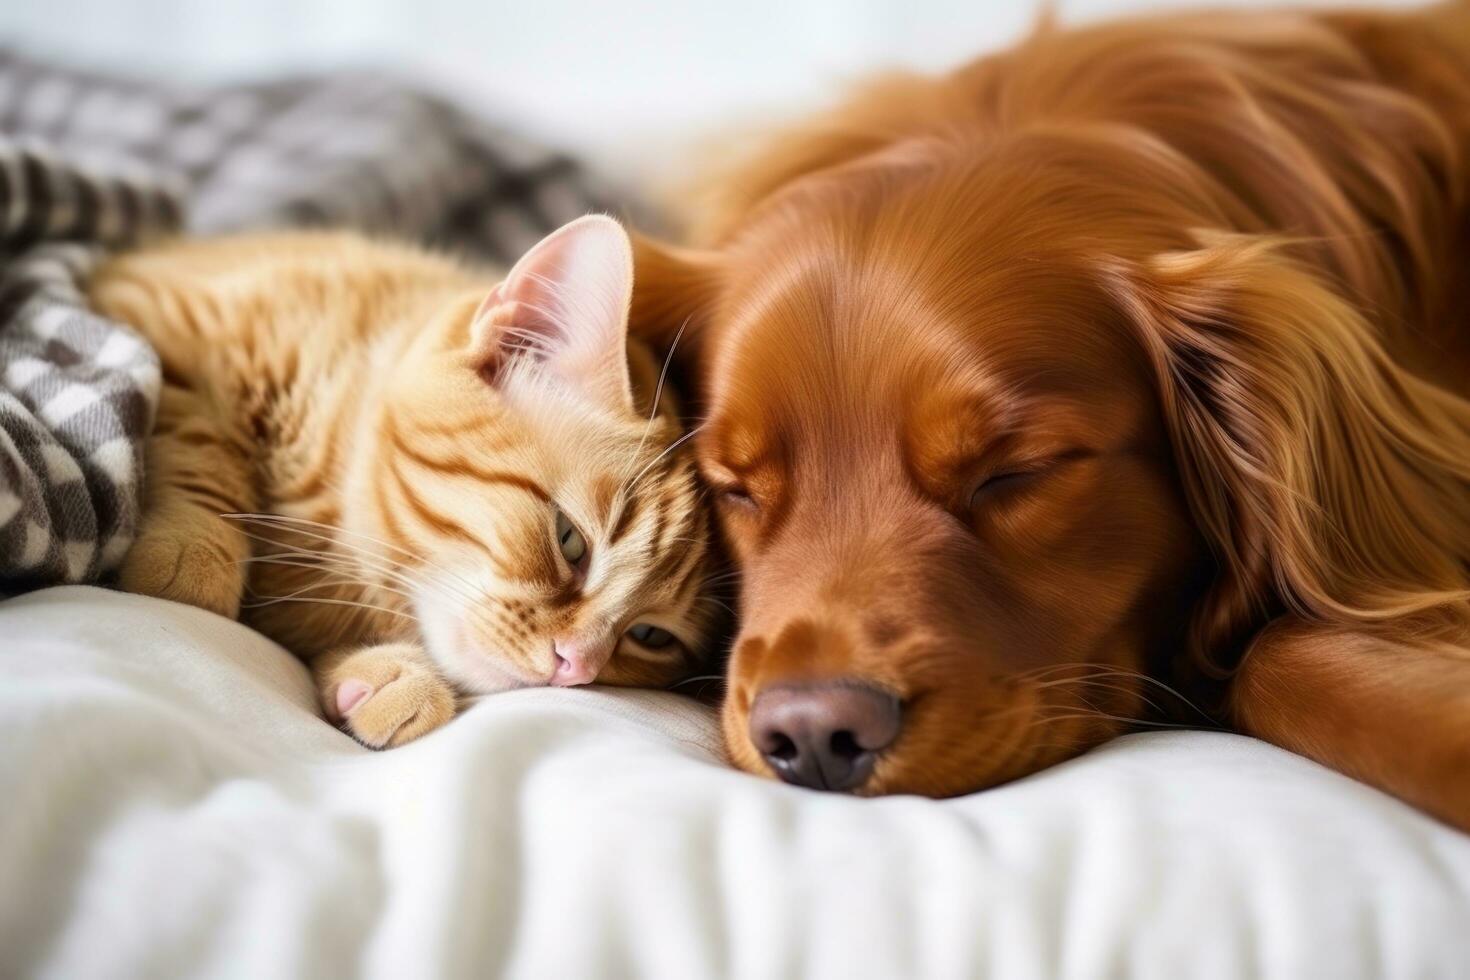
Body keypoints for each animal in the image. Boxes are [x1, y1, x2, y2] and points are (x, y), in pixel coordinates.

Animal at [88, 218, 720, 746]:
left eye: (652, 636)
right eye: (570, 542)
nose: (576, 666)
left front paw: (383, 676)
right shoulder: (156, 315)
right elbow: (202, 435)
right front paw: (195, 548)